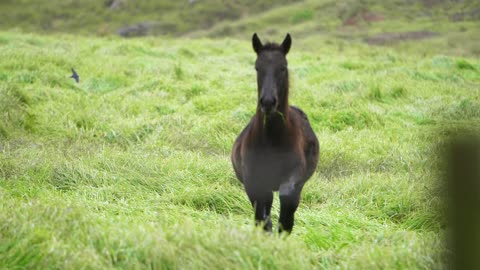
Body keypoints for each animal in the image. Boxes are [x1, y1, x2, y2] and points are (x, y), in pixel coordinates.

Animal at [232, 33, 318, 232]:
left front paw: (283, 229)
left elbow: (287, 203)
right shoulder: (253, 182)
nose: (268, 102)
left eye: (283, 67)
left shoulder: (295, 177)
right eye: (257, 67)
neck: (272, 140)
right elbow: (261, 216)